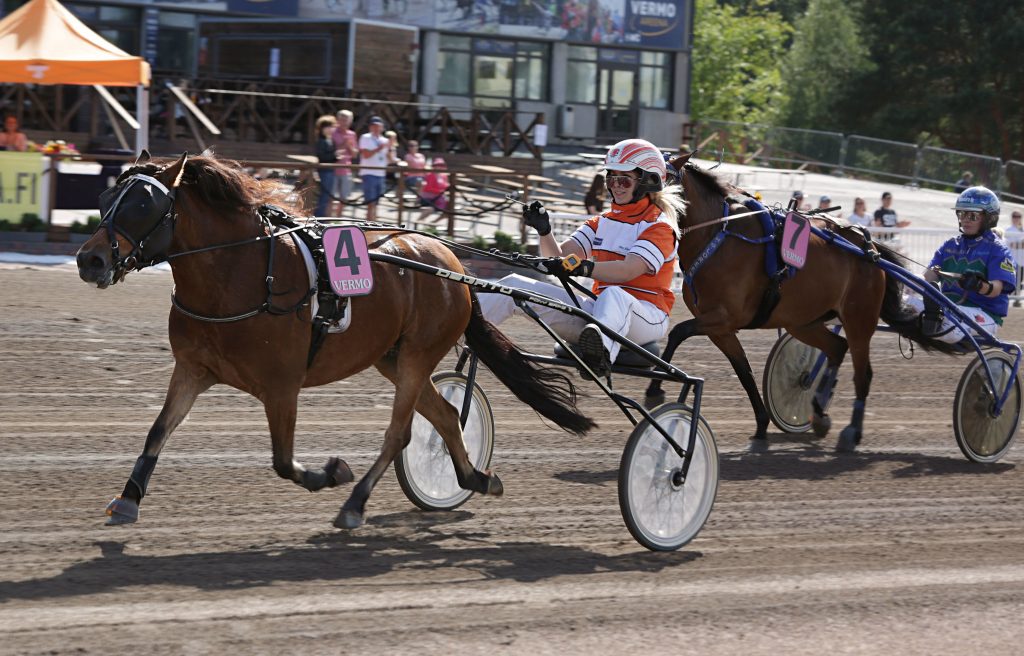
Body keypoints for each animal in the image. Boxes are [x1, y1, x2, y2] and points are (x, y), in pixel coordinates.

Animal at [75, 152, 598, 528]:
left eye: (144, 203)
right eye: (105, 196)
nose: (90, 260)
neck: (244, 272)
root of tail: (455, 267)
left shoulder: (282, 385)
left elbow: (283, 461)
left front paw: (331, 473)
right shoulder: (192, 368)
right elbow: (158, 430)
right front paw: (127, 498)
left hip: (417, 355)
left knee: (401, 433)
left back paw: (356, 502)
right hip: (393, 357)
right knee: (448, 417)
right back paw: (474, 478)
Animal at [643, 155, 954, 450]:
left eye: (658, 177)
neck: (717, 235)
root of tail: (871, 250)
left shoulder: (723, 317)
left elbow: (678, 332)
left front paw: (654, 389)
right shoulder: (721, 328)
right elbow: (743, 371)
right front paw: (761, 425)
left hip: (859, 320)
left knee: (863, 373)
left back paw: (852, 433)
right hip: (802, 321)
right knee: (836, 348)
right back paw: (818, 414)